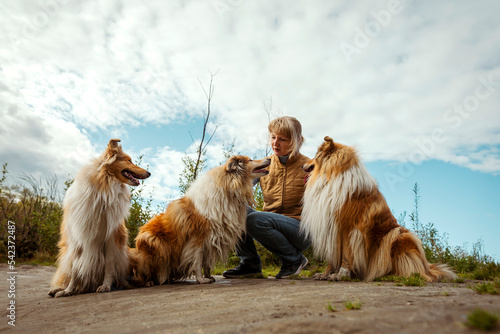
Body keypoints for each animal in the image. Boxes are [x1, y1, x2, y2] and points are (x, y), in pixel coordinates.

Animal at [48, 138, 150, 298]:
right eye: (129, 160)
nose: (149, 173)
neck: (104, 188)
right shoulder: (78, 238)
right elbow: (75, 269)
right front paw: (68, 290)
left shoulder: (111, 237)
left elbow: (109, 265)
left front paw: (106, 286)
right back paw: (59, 289)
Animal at [129, 155, 270, 286]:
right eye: (250, 160)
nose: (269, 159)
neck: (228, 188)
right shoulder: (197, 239)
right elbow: (197, 261)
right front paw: (201, 279)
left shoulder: (212, 239)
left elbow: (206, 262)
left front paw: (209, 277)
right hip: (154, 242)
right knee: (142, 272)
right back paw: (149, 281)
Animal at [300, 136, 458, 282]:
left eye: (315, 154)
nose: (302, 165)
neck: (332, 175)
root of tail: (427, 267)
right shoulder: (331, 228)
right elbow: (332, 258)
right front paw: (325, 274)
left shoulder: (349, 228)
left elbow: (347, 254)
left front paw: (341, 275)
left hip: (398, 235)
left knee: (414, 270)